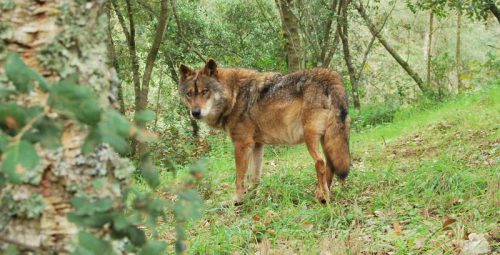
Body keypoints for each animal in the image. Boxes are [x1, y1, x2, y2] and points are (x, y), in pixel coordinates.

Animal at [178, 59, 350, 203]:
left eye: (205, 91)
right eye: (189, 94)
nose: (195, 112)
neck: (234, 96)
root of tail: (330, 75)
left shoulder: (242, 144)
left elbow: (239, 177)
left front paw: (237, 200)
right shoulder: (257, 145)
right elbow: (254, 177)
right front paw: (251, 198)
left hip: (311, 138)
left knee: (320, 163)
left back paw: (324, 198)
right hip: (326, 140)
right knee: (330, 165)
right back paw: (322, 193)